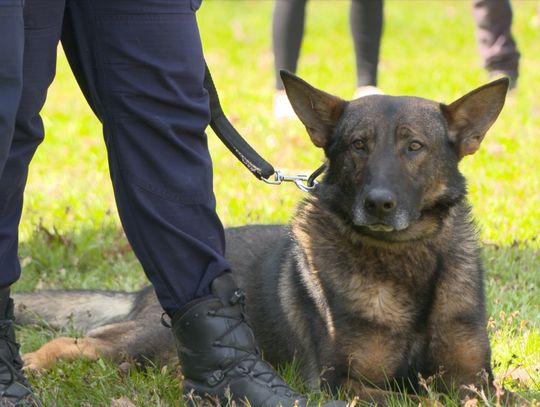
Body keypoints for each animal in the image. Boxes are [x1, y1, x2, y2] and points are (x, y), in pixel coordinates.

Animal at [13, 73, 510, 404]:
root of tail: (141, 291)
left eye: (414, 147)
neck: (406, 262)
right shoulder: (345, 384)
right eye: (358, 146)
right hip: (150, 339)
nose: (378, 204)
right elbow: (418, 398)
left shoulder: (473, 378)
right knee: (77, 343)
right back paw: (31, 364)